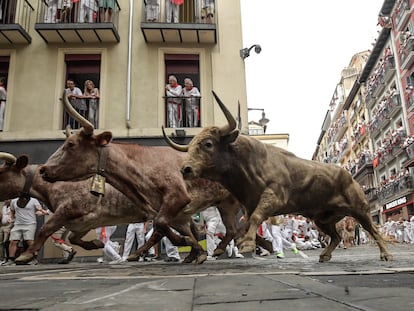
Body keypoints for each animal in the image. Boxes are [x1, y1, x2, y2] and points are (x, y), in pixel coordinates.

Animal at [162, 91, 392, 264]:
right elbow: (244, 224)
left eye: (208, 144)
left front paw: (246, 243)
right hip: (322, 219)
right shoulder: (249, 204)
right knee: (335, 236)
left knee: (373, 229)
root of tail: (347, 175)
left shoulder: (273, 197)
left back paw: (386, 254)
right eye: (191, 146)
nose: (185, 169)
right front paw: (225, 247)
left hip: (360, 209)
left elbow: (254, 219)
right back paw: (324, 255)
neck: (249, 165)